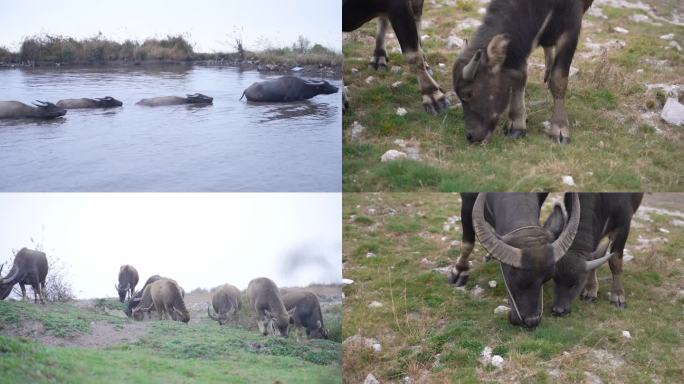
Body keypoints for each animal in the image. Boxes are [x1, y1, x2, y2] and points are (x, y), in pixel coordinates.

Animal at [452, 192, 580, 328]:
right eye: (513, 278)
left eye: (545, 279)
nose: (532, 321)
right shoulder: (467, 199)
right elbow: (467, 243)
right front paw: (460, 271)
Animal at [454, 0, 592, 144]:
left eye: (469, 93)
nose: (470, 136)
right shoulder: (520, 46)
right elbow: (519, 77)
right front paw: (517, 124)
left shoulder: (571, 29)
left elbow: (558, 80)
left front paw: (559, 128)